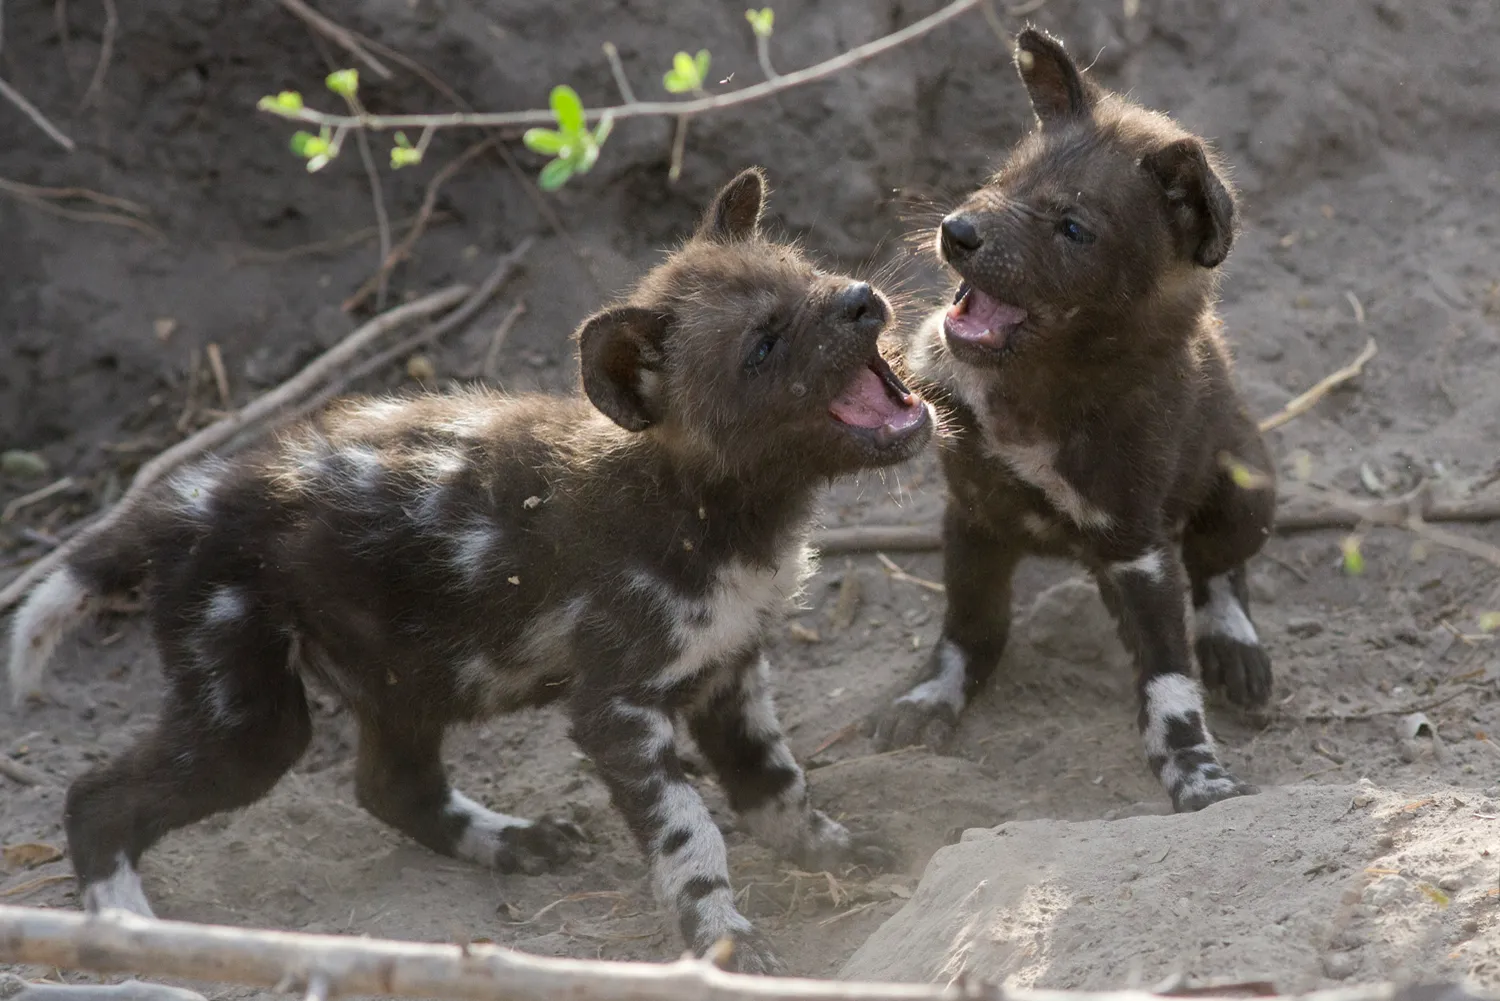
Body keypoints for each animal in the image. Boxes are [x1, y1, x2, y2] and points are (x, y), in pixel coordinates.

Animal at [5, 168, 930, 972]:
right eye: (763, 345)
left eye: (808, 273)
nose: (858, 298)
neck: (712, 509)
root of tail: (189, 496)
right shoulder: (619, 709)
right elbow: (691, 834)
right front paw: (724, 939)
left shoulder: (732, 664)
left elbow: (777, 783)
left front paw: (835, 851)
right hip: (251, 723)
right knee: (95, 799)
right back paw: (129, 932)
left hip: (406, 672)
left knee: (389, 784)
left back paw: (511, 840)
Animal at [876, 29, 1278, 816]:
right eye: (1003, 179)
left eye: (1073, 229)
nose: (957, 231)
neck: (1040, 389)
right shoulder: (974, 516)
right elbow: (968, 631)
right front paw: (931, 698)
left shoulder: (1138, 550)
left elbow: (1170, 682)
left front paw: (1198, 771)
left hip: (1250, 488)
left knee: (1221, 568)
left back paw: (1234, 643)